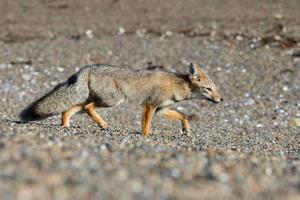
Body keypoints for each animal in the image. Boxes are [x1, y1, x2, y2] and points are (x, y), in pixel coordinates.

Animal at [20, 63, 223, 137]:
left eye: (216, 88)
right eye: (208, 89)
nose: (221, 99)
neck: (176, 85)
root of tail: (89, 68)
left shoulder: (162, 109)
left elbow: (183, 116)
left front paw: (186, 129)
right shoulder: (150, 106)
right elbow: (146, 123)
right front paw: (146, 136)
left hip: (90, 101)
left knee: (68, 109)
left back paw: (66, 125)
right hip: (113, 101)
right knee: (88, 108)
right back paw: (102, 124)